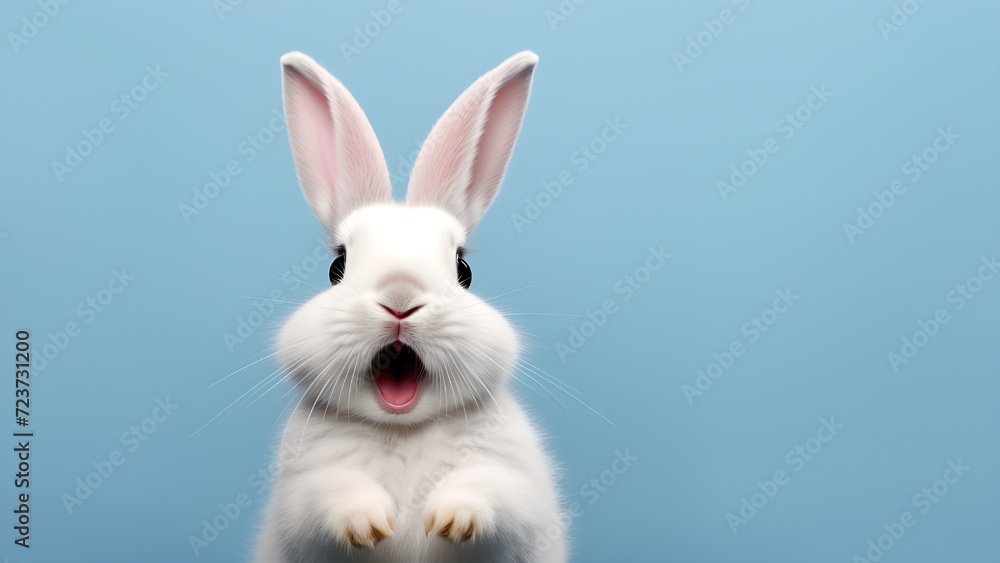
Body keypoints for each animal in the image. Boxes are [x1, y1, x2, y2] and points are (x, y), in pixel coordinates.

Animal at [253, 50, 567, 563]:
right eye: (337, 266)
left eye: (464, 270)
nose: (400, 299)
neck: (403, 429)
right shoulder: (301, 491)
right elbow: (331, 495)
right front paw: (368, 523)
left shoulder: (518, 485)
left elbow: (490, 490)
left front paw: (453, 518)